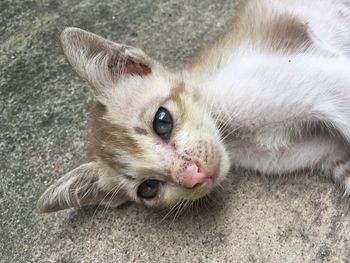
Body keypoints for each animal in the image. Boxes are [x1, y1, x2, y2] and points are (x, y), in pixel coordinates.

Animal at [37, 0, 350, 213]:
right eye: (148, 188)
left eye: (163, 121)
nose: (193, 174)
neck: (235, 136)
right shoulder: (322, 151)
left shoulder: (325, 80)